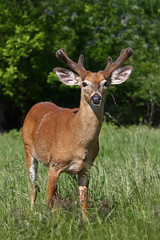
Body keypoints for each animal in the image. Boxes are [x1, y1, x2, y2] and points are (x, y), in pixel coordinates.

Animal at [21, 46, 133, 216]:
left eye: (105, 83)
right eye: (84, 83)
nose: (96, 98)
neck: (77, 140)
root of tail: (36, 105)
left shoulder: (86, 168)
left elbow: (83, 202)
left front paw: (87, 221)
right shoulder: (55, 164)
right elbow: (48, 200)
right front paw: (51, 219)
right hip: (28, 149)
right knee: (34, 187)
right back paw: (32, 212)